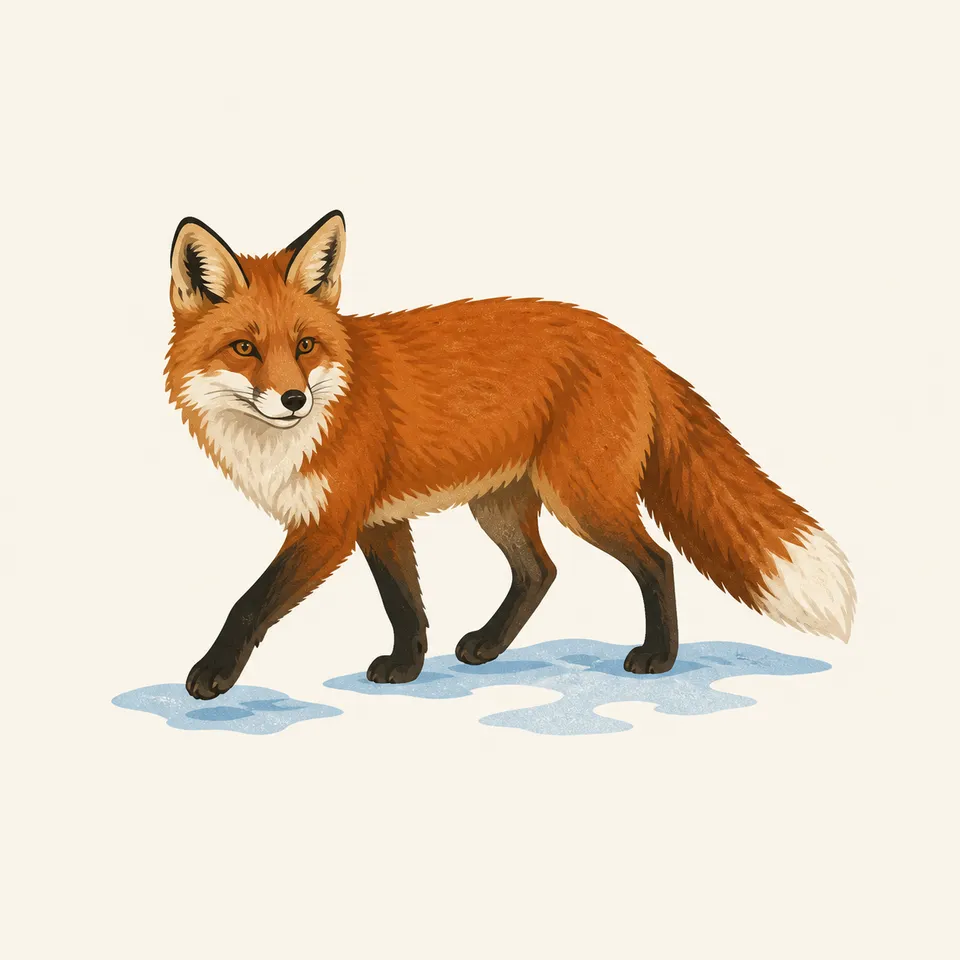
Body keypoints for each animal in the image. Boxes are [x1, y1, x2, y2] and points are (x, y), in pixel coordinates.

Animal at [166, 211, 855, 701]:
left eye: (305, 345)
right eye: (245, 348)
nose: (294, 399)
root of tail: (631, 342)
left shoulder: (329, 524)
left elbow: (250, 602)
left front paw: (213, 675)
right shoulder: (378, 520)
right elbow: (404, 603)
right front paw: (408, 667)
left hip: (582, 500)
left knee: (656, 561)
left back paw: (658, 658)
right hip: (501, 504)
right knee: (538, 571)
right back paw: (490, 645)